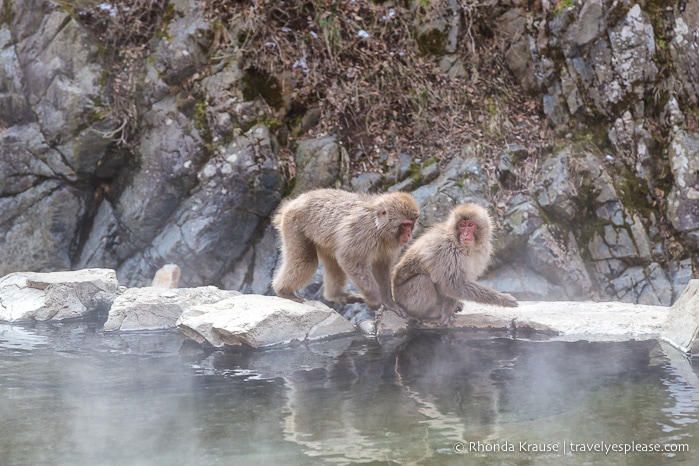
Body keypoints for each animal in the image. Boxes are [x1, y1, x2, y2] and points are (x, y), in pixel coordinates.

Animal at [272, 187, 416, 314]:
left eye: (411, 224)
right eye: (404, 225)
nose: (409, 235)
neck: (378, 227)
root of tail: (294, 202)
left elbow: (382, 268)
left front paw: (389, 303)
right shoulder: (361, 232)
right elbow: (349, 259)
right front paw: (374, 299)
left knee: (333, 261)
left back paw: (337, 295)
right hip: (294, 224)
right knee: (307, 262)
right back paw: (284, 292)